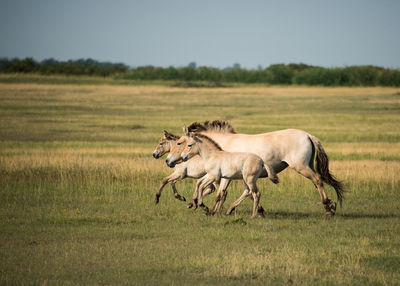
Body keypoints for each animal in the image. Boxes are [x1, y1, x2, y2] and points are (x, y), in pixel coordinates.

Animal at [167, 119, 346, 216]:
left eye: (179, 143)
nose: (168, 161)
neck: (222, 146)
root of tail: (309, 135)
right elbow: (230, 193)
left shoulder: (226, 176)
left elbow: (221, 193)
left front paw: (206, 208)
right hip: (307, 165)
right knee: (319, 181)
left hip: (301, 167)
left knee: (318, 181)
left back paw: (328, 208)